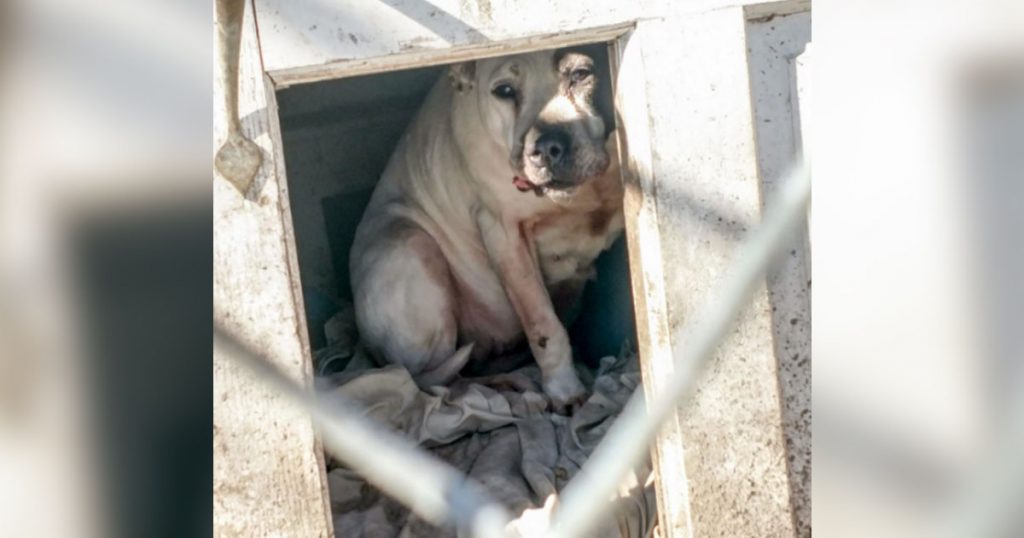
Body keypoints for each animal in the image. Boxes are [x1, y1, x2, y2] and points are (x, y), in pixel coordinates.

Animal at [352, 47, 622, 411]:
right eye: (504, 90)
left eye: (580, 74)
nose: (546, 150)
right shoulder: (504, 233)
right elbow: (544, 325)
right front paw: (564, 389)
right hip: (409, 245)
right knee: (434, 380)